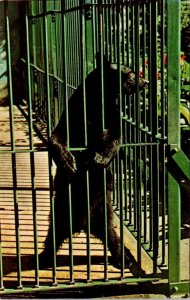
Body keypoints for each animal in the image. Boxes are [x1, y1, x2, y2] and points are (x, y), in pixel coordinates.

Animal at [39, 54, 147, 272]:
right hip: (60, 213)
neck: (98, 100)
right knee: (52, 236)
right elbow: (57, 139)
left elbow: (113, 138)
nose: (146, 81)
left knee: (113, 238)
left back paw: (124, 260)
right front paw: (69, 163)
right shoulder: (70, 118)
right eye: (132, 72)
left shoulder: (113, 119)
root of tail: (82, 224)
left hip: (103, 214)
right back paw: (44, 259)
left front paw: (99, 158)